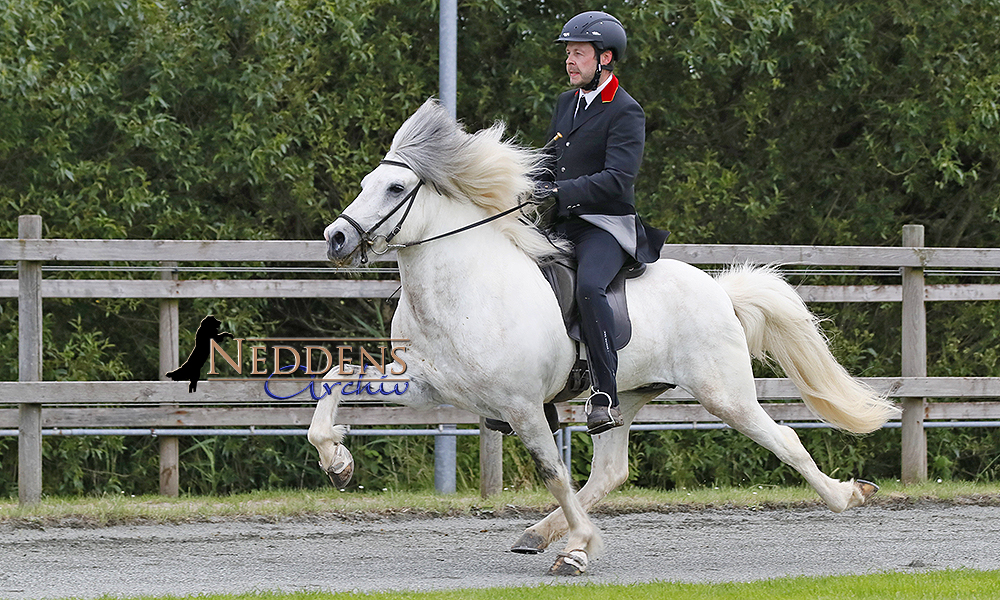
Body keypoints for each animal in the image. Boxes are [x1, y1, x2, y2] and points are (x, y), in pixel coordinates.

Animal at [310, 99, 900, 576]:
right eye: (364, 183)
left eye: (394, 187)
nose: (335, 238)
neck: (464, 286)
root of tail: (719, 291)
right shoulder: (425, 386)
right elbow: (337, 378)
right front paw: (337, 460)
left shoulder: (522, 406)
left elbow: (551, 470)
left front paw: (583, 545)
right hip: (623, 397)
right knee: (611, 471)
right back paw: (542, 536)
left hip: (724, 394)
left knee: (785, 439)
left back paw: (848, 494)